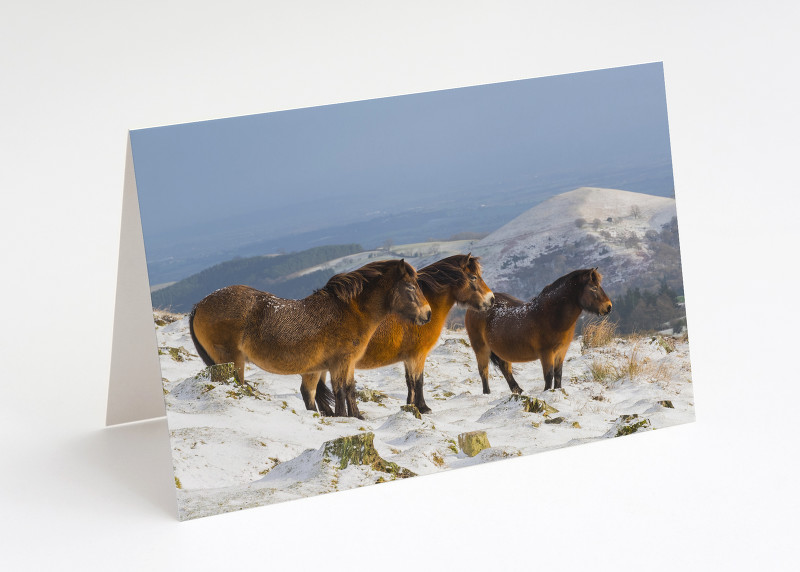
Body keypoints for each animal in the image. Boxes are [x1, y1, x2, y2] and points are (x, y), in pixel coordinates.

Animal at [189, 256, 432, 418]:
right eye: (410, 287)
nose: (427, 314)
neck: (349, 311)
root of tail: (199, 304)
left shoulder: (339, 365)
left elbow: (345, 389)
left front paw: (355, 416)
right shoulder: (340, 362)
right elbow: (341, 390)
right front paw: (344, 417)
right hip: (232, 360)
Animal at [304, 255, 496, 416]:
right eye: (473, 277)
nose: (491, 299)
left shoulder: (408, 357)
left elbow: (409, 382)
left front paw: (410, 405)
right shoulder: (418, 355)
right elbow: (418, 381)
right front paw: (423, 407)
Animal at [462, 268, 612, 394]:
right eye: (594, 287)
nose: (608, 307)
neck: (549, 316)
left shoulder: (561, 351)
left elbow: (558, 374)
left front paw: (557, 391)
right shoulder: (546, 353)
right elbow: (549, 375)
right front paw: (546, 392)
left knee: (505, 368)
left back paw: (518, 391)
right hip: (481, 348)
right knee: (484, 371)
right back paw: (487, 393)